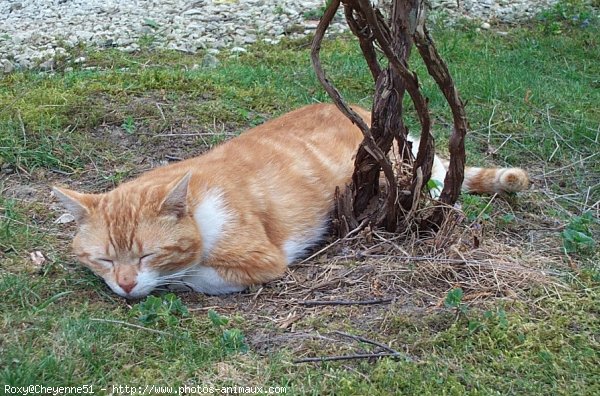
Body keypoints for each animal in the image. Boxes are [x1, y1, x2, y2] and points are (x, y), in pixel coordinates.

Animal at [54, 103, 528, 298]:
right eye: (103, 259)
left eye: (148, 255)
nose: (126, 284)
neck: (198, 201)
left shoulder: (262, 260)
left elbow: (194, 276)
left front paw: (171, 279)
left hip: (412, 171)